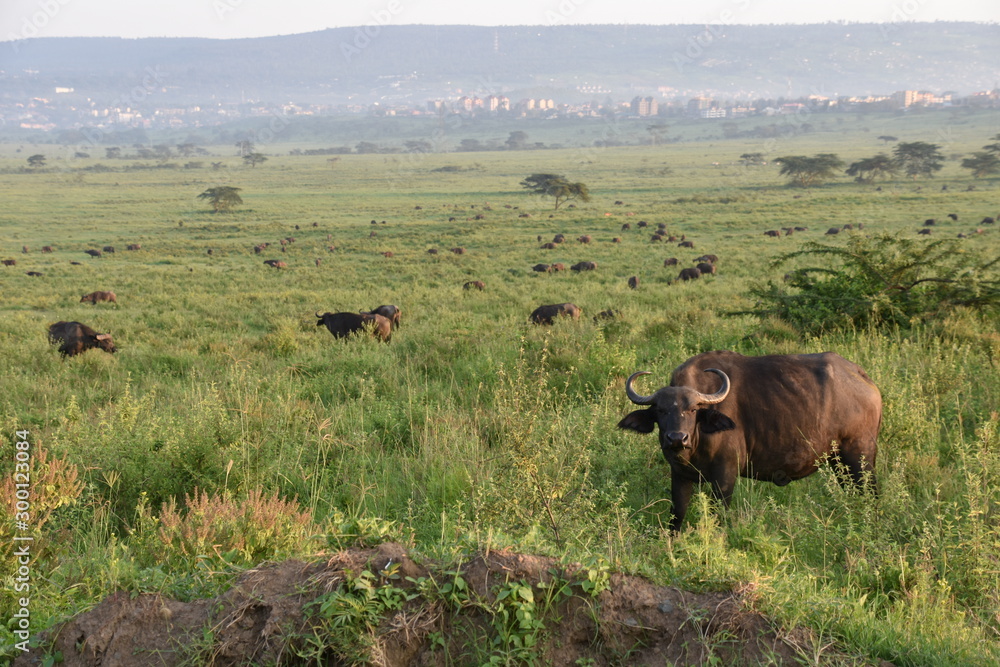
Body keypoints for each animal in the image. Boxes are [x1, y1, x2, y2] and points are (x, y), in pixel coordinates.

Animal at [616, 350, 884, 532]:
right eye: (661, 411)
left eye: (692, 409)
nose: (677, 438)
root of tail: (863, 378)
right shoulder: (680, 474)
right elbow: (677, 513)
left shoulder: (725, 475)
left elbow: (719, 514)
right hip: (839, 462)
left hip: (860, 457)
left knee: (872, 495)